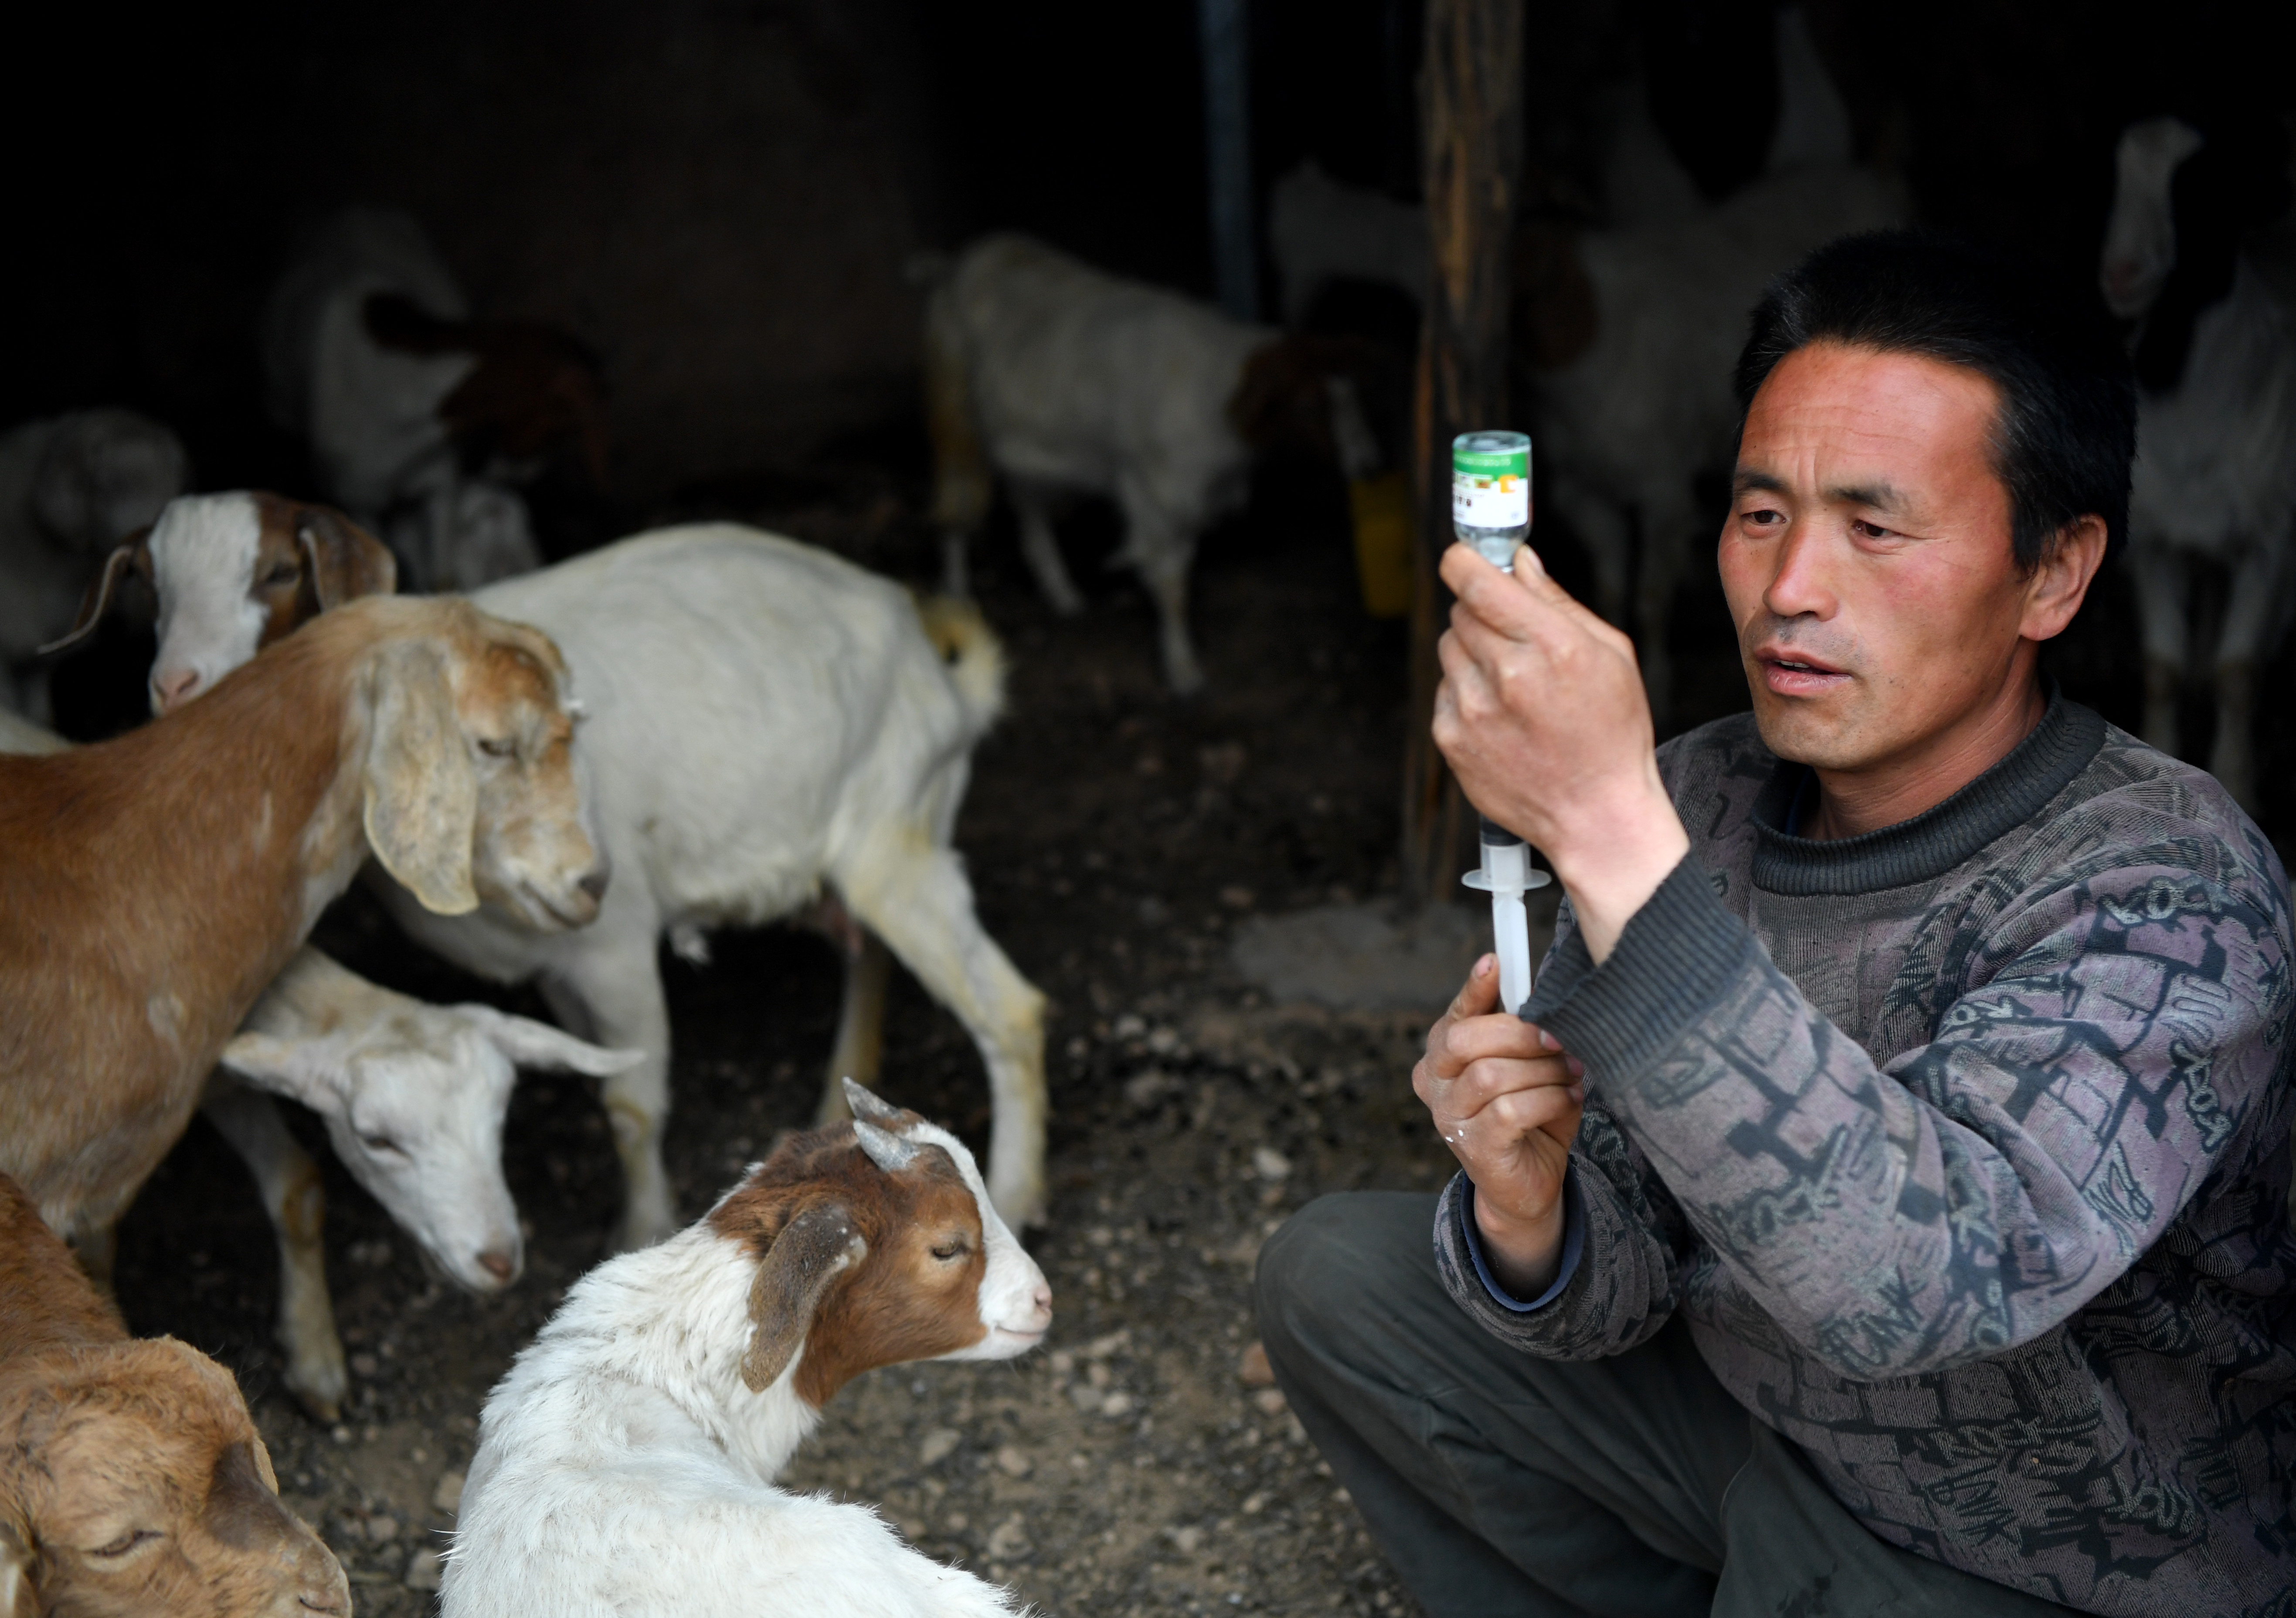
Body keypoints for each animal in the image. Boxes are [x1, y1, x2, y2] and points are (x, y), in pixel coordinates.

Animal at [132, 505, 1051, 1239]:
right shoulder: (555, 962)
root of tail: (937, 673)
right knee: (870, 955)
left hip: (896, 834)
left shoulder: (613, 936)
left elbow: (631, 1105)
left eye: (279, 573)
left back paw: (1013, 1191)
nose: (180, 691)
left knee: (1007, 1006)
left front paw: (640, 1228)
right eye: (152, 590)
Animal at [2103, 117, 2296, 808]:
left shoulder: (2272, 540)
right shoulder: (2154, 541)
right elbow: (2163, 669)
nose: (2121, 273)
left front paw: (2237, 783)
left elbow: (2237, 673)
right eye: (2111, 177)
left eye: (2202, 190)